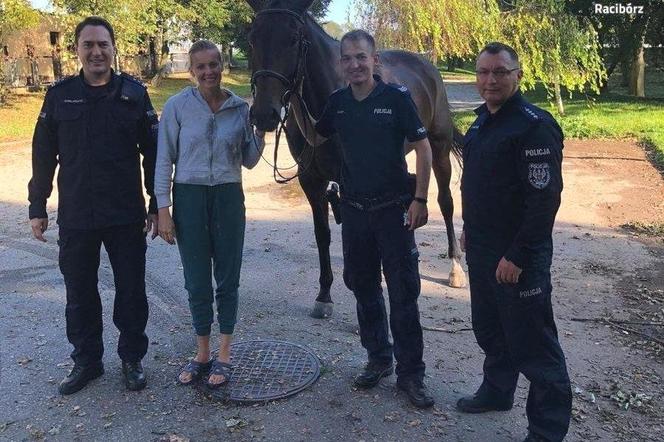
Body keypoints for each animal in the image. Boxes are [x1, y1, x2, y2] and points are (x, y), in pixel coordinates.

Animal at [245, 0, 466, 318]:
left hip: (439, 146)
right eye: (252, 39)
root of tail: (426, 67)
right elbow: (323, 234)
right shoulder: (311, 179)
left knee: (446, 202)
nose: (264, 114)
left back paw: (456, 269)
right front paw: (324, 295)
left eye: (294, 40)